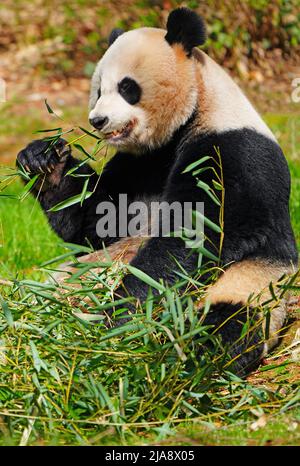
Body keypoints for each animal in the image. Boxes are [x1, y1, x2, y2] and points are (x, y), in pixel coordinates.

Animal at [17, 8, 298, 374]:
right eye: (99, 90)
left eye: (127, 87)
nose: (97, 120)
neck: (197, 105)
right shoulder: (139, 164)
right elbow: (96, 226)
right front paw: (43, 161)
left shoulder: (232, 152)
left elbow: (193, 237)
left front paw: (120, 315)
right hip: (56, 278)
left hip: (260, 278)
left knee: (229, 315)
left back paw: (189, 353)